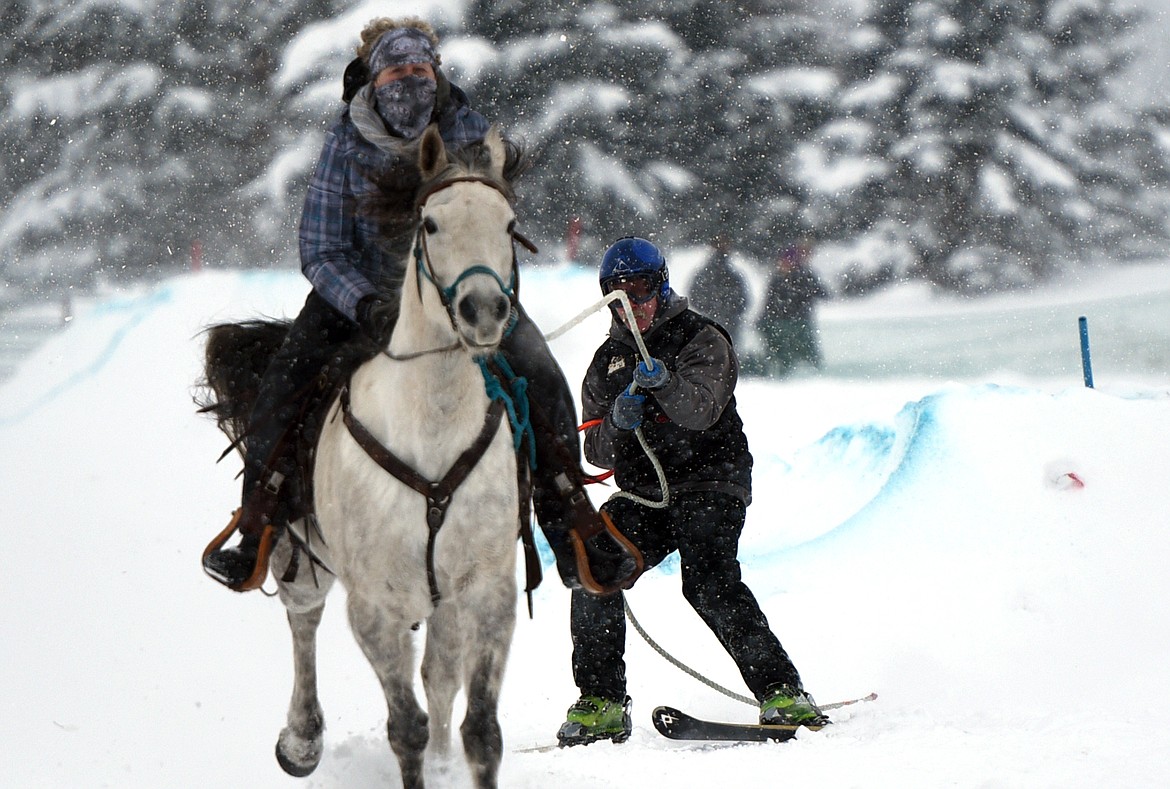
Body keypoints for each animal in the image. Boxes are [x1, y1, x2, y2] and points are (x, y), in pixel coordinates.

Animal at [269, 125, 521, 781]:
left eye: (510, 224)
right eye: (429, 223)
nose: (483, 310)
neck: (431, 427)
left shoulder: (486, 591)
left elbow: (481, 730)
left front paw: (453, 759)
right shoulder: (375, 606)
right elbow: (405, 727)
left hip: (443, 601)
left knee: (439, 673)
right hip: (298, 556)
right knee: (303, 618)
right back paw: (301, 740)